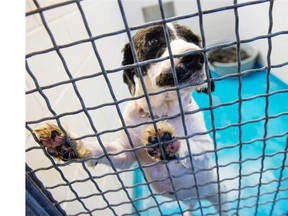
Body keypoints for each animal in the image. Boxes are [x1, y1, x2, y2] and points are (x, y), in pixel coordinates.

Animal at [33, 22, 227, 215]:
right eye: (154, 40)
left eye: (193, 40)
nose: (195, 57)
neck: (162, 113)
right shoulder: (124, 153)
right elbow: (101, 149)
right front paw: (66, 144)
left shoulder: (205, 147)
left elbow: (192, 146)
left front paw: (168, 144)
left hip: (219, 193)